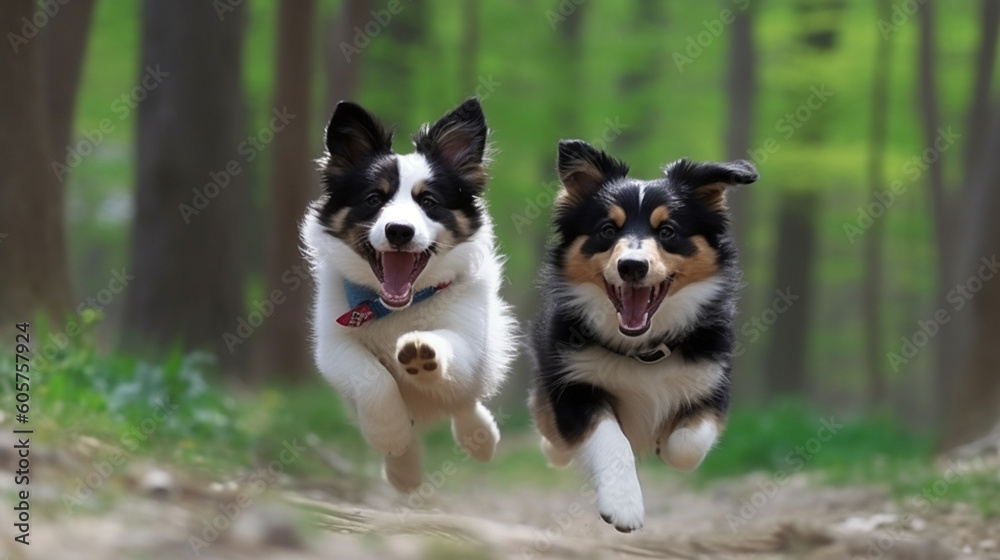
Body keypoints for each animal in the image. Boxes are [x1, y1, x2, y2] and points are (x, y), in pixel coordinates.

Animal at [302, 98, 516, 492]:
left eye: (428, 201)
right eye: (374, 198)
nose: (399, 230)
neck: (396, 306)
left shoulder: (469, 337)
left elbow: (449, 345)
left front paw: (420, 352)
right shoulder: (334, 345)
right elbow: (373, 379)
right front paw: (392, 437)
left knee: (464, 402)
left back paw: (479, 438)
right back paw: (405, 470)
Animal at [528, 139, 752, 528]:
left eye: (667, 231)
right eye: (607, 230)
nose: (632, 266)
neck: (642, 348)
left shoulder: (711, 379)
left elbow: (688, 444)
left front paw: (664, 444)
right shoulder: (572, 381)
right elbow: (611, 439)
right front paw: (623, 505)